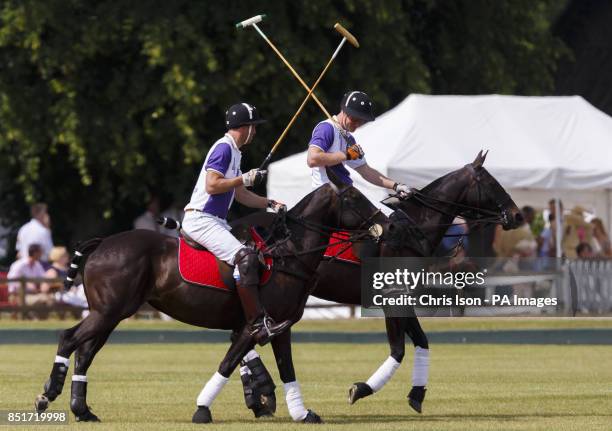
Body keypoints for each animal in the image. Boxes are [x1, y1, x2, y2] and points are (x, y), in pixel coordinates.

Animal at [33, 170, 384, 424]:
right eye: (354, 196)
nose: (384, 223)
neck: (289, 254)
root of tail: (102, 243)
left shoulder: (279, 326)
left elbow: (286, 368)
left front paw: (302, 413)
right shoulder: (255, 326)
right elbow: (228, 363)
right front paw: (203, 409)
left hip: (110, 314)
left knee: (85, 352)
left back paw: (82, 410)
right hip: (107, 312)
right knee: (68, 339)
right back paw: (47, 394)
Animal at [239, 151, 520, 416]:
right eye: (491, 183)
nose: (517, 216)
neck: (415, 231)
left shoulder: (402, 296)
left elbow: (422, 341)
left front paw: (417, 394)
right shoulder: (391, 297)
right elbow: (398, 350)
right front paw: (360, 389)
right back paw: (262, 391)